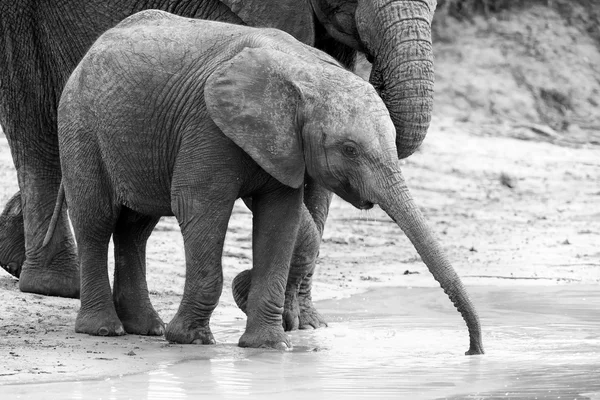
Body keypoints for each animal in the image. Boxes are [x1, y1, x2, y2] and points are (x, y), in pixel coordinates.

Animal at [50, 9, 482, 354]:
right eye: (349, 149)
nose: (472, 351)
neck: (308, 75)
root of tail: (92, 48)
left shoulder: (284, 144)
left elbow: (281, 219)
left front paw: (270, 346)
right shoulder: (207, 125)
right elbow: (198, 206)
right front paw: (191, 340)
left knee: (136, 228)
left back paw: (147, 328)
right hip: (80, 125)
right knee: (97, 221)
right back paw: (105, 330)